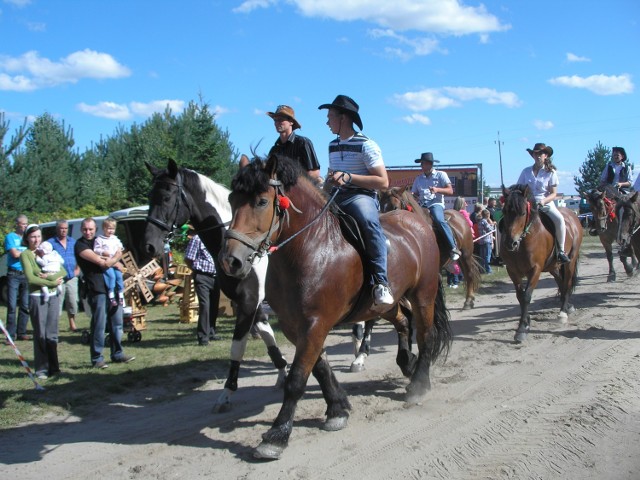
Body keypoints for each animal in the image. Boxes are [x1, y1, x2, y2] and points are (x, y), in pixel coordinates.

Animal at [220, 156, 450, 460]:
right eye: (232, 199)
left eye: (261, 201)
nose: (230, 261)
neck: (312, 248)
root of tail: (418, 222)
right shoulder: (296, 326)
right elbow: (319, 368)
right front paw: (337, 409)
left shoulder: (315, 324)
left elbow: (296, 379)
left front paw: (278, 434)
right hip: (385, 304)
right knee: (403, 322)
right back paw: (406, 363)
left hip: (423, 294)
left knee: (425, 335)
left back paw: (419, 384)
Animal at [500, 186, 584, 344]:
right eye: (505, 211)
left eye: (522, 213)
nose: (510, 243)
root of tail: (573, 215)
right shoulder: (512, 271)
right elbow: (520, 296)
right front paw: (526, 322)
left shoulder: (535, 270)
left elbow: (526, 296)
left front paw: (521, 329)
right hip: (553, 266)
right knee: (561, 282)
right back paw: (567, 306)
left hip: (570, 261)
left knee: (567, 282)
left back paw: (563, 312)